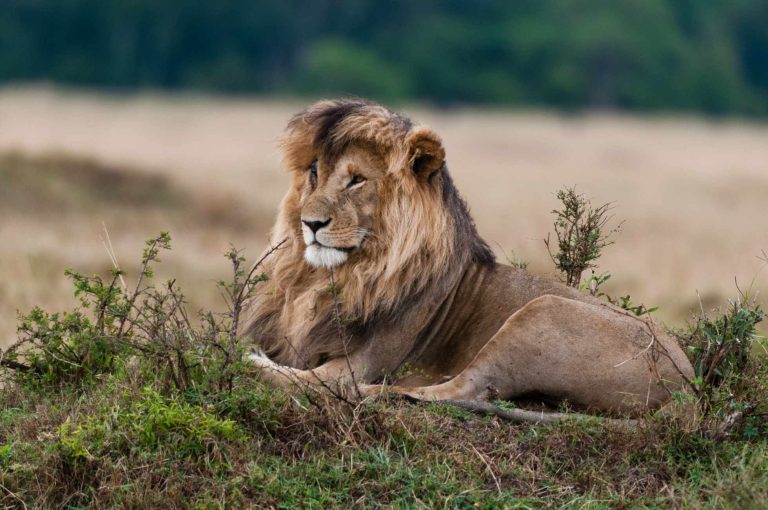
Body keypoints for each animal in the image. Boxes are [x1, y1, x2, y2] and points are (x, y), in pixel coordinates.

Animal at [239, 99, 694, 415]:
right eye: (314, 173)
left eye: (356, 180)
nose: (310, 223)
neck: (332, 278)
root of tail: (688, 385)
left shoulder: (362, 360)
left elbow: (308, 379)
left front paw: (251, 360)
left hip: (541, 313)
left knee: (457, 388)